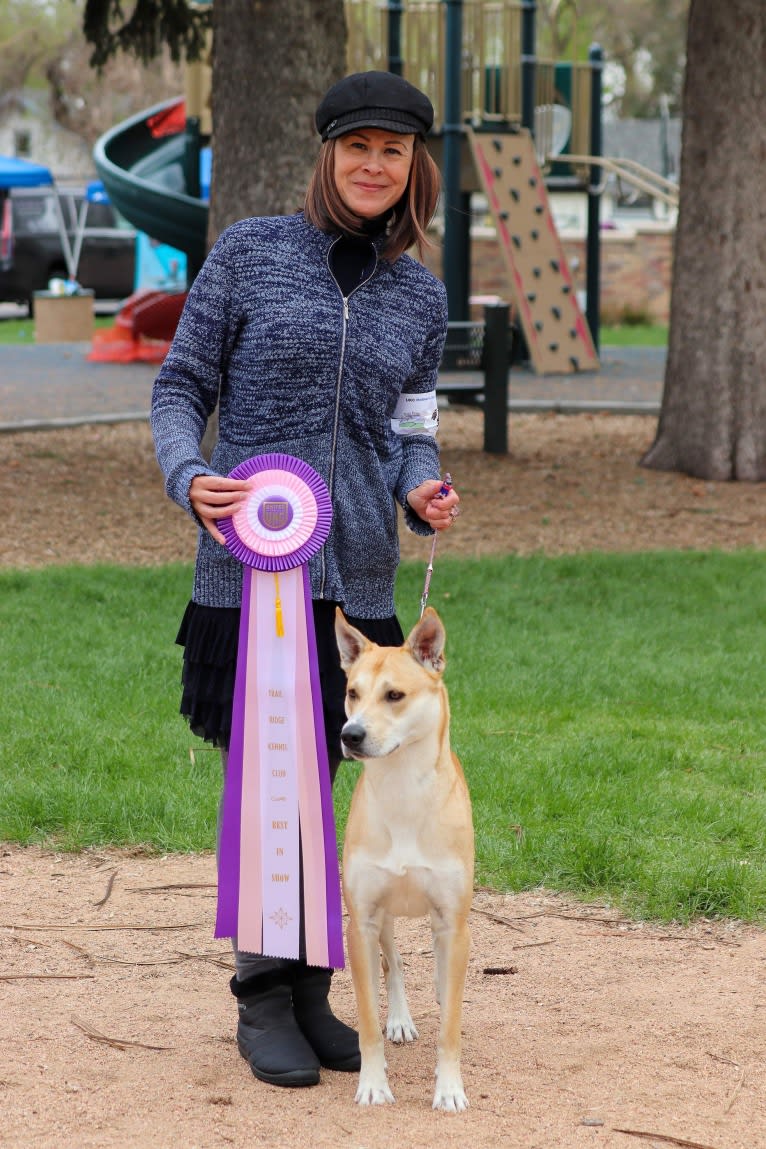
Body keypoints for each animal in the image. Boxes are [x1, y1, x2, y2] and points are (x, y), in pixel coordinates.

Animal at [335, 606, 473, 1107]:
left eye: (394, 695)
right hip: (385, 916)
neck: (403, 794)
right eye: (352, 692)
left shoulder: (453, 916)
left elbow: (451, 1027)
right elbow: (368, 1022)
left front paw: (449, 1090)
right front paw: (373, 1084)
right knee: (391, 964)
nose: (350, 735)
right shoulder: (363, 919)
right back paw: (400, 1017)